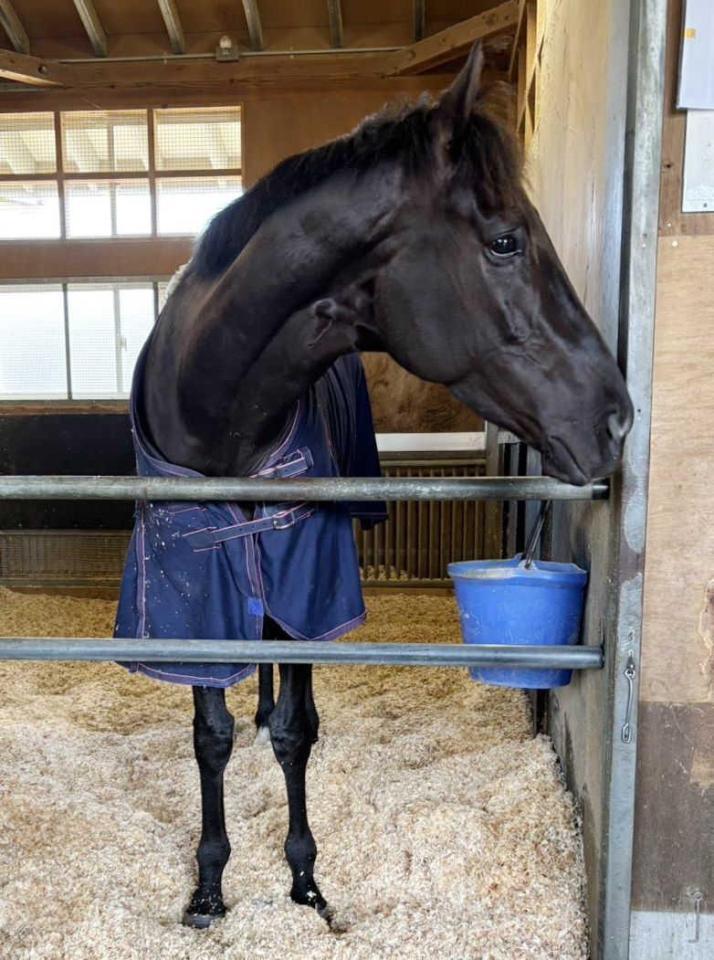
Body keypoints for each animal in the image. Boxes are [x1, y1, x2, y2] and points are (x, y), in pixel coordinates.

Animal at [114, 42, 633, 929]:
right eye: (506, 241)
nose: (618, 419)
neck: (218, 413)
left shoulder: (304, 574)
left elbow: (297, 729)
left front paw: (304, 878)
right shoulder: (193, 599)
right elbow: (209, 736)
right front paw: (209, 886)